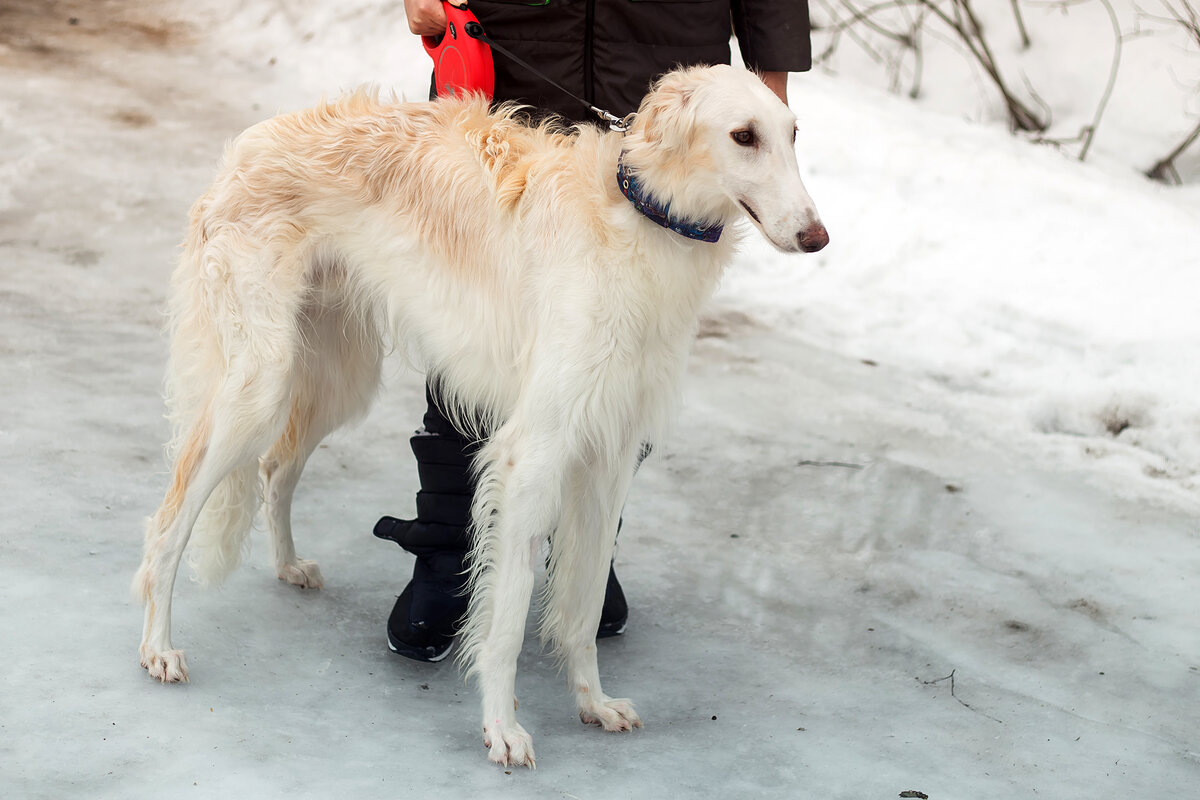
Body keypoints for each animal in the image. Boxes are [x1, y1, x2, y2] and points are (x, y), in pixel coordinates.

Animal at [131, 65, 825, 767]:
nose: (816, 237)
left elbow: (582, 607)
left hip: (334, 377)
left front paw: (594, 704)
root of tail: (244, 149)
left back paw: (287, 565)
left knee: (275, 471)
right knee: (168, 522)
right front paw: (502, 728)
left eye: (793, 133)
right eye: (743, 136)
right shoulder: (534, 452)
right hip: (258, 386)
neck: (635, 219)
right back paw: (158, 647)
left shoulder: (611, 453)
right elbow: (509, 614)